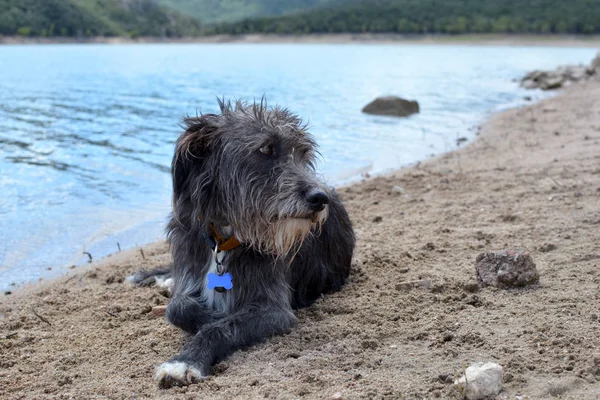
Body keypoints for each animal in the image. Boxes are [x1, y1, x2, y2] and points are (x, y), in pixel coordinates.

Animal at [134, 99, 354, 388]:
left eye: (302, 154)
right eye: (266, 149)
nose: (320, 198)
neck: (224, 239)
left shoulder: (274, 310)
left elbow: (223, 326)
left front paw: (185, 360)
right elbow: (177, 308)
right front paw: (208, 314)